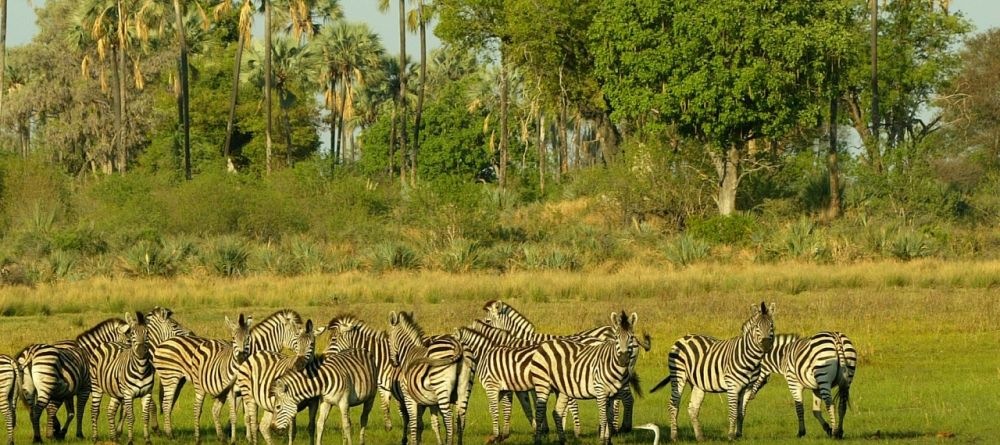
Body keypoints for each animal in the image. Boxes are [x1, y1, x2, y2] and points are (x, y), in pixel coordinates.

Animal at [88, 311, 156, 445]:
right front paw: (130, 440)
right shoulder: (128, 394)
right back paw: (95, 438)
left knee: (110, 411)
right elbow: (131, 417)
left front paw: (147, 440)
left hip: (115, 391)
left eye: (147, 333)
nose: (141, 352)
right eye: (132, 333)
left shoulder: (147, 393)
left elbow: (145, 416)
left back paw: (114, 438)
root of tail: (107, 342)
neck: (141, 369)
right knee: (94, 411)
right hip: (96, 386)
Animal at [153, 313, 253, 443]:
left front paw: (249, 438)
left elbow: (247, 416)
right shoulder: (232, 391)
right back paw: (171, 434)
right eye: (233, 338)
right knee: (167, 404)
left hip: (179, 381)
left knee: (170, 405)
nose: (241, 357)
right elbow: (235, 414)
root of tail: (164, 342)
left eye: (248, 339)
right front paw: (235, 439)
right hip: (170, 377)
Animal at [387, 311, 469, 445]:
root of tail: (456, 344)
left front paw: (413, 441)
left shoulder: (409, 396)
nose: (393, 363)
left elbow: (413, 422)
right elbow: (431, 423)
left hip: (442, 387)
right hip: (464, 387)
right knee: (461, 416)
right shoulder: (429, 400)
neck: (409, 351)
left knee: (449, 416)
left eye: (388, 338)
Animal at [528, 311, 638, 445]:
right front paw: (602, 440)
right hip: (542, 383)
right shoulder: (600, 392)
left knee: (556, 412)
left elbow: (610, 417)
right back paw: (538, 440)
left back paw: (563, 440)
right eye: (616, 338)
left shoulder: (614, 394)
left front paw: (608, 440)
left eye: (631, 338)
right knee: (539, 412)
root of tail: (545, 344)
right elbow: (603, 417)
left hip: (561, 388)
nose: (623, 360)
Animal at [649, 302, 775, 442]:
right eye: (756, 327)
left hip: (697, 383)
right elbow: (733, 412)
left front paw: (738, 435)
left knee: (692, 409)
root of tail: (684, 337)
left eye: (772, 326)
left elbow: (741, 413)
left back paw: (700, 437)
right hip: (678, 375)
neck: (750, 359)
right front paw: (730, 436)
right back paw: (674, 436)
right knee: (673, 404)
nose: (766, 345)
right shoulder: (733, 386)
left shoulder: (747, 388)